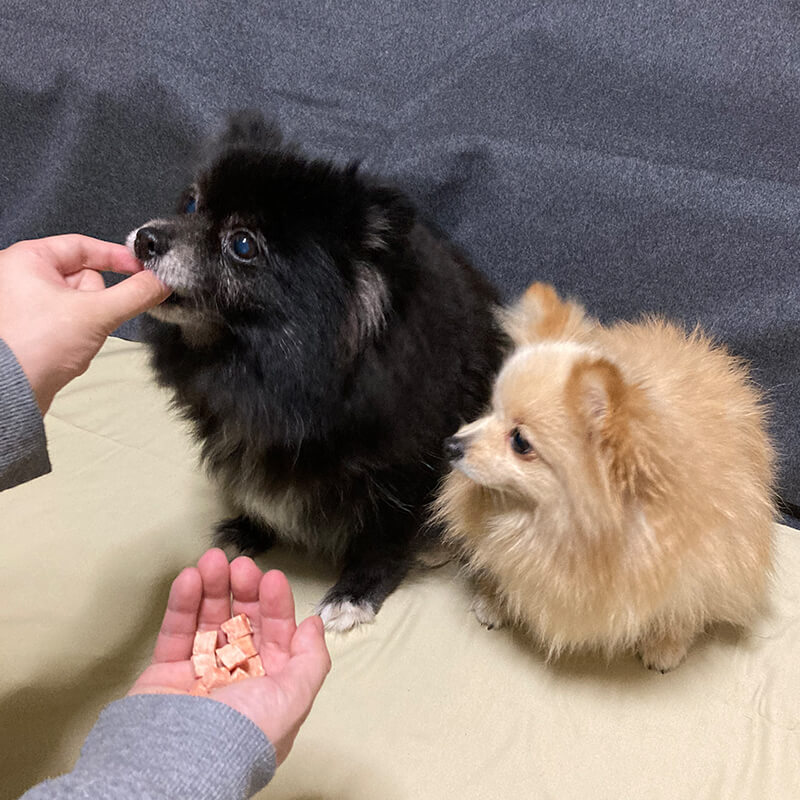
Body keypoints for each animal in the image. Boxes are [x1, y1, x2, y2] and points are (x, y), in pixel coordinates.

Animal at [130, 114, 506, 632]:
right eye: (190, 202)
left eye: (242, 244)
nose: (146, 237)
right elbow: (254, 494)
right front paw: (249, 529)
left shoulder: (406, 470)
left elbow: (381, 542)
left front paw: (354, 593)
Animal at [438, 284, 776, 672]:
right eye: (491, 410)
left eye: (520, 441)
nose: (451, 444)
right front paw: (494, 599)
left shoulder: (712, 562)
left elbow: (685, 608)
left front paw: (666, 644)